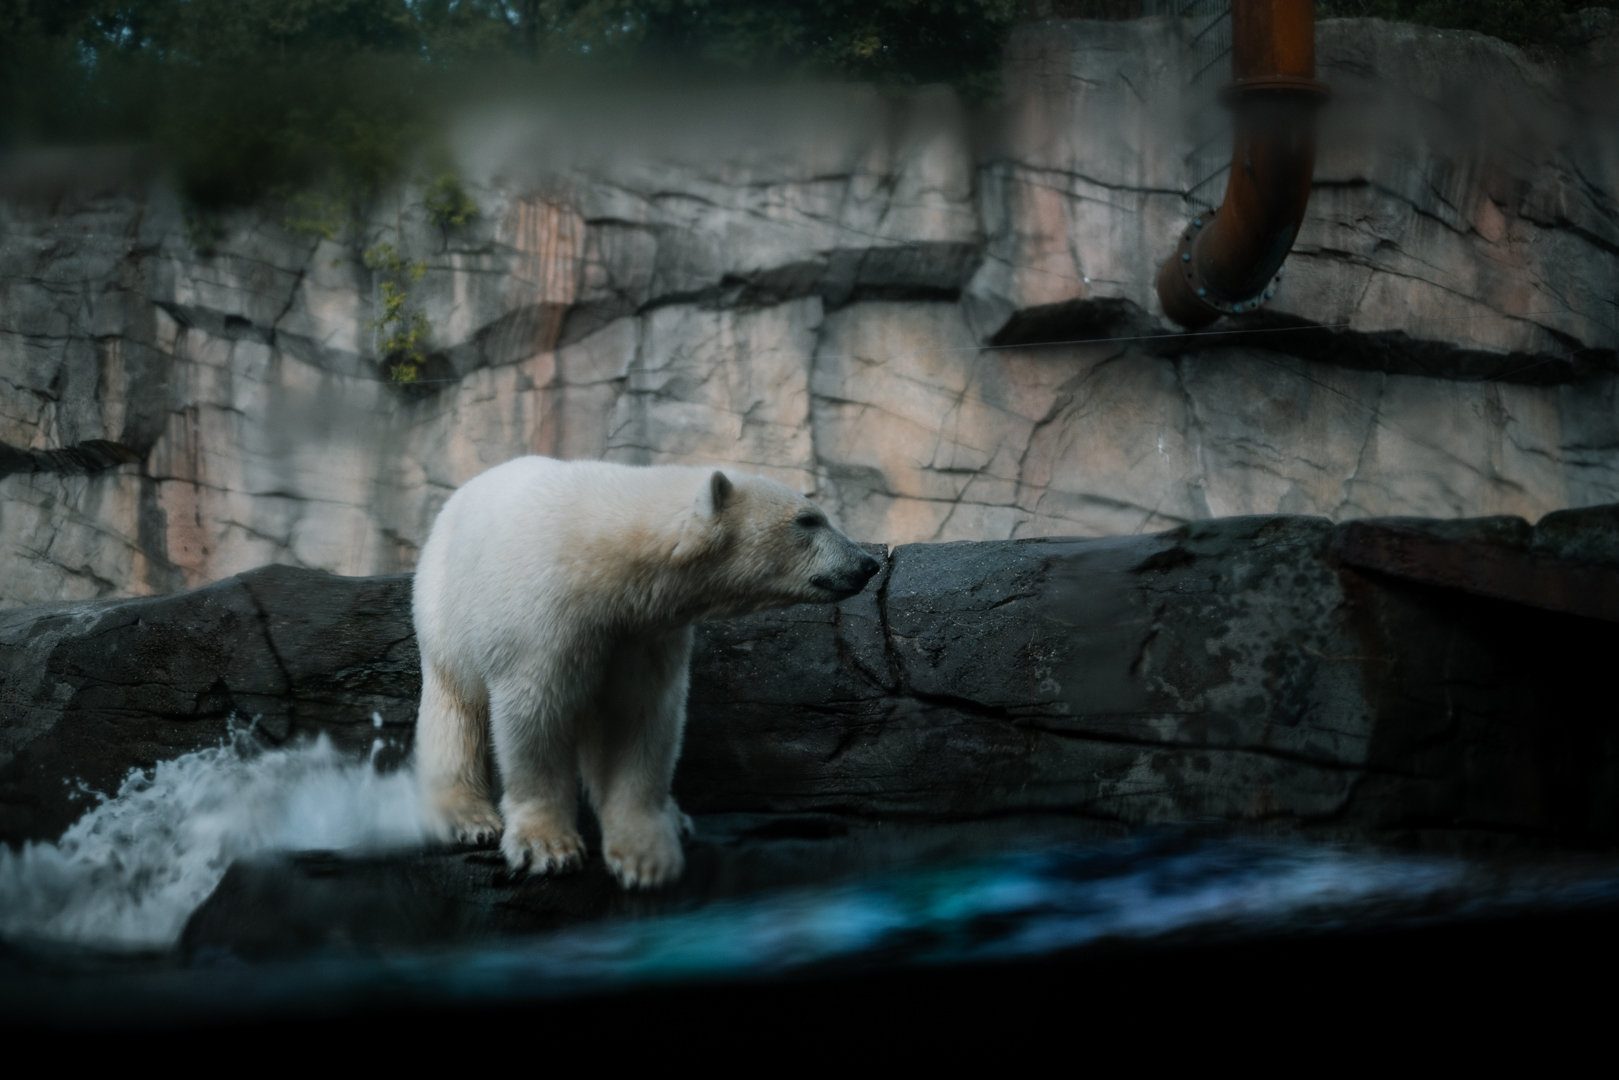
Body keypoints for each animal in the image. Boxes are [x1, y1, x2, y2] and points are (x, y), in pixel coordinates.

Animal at [411, 455, 881, 889]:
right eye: (808, 519)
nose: (868, 563)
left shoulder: (642, 635)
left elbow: (639, 720)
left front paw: (646, 858)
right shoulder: (543, 620)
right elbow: (536, 716)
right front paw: (547, 848)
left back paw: (677, 818)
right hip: (446, 610)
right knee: (454, 711)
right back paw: (467, 819)